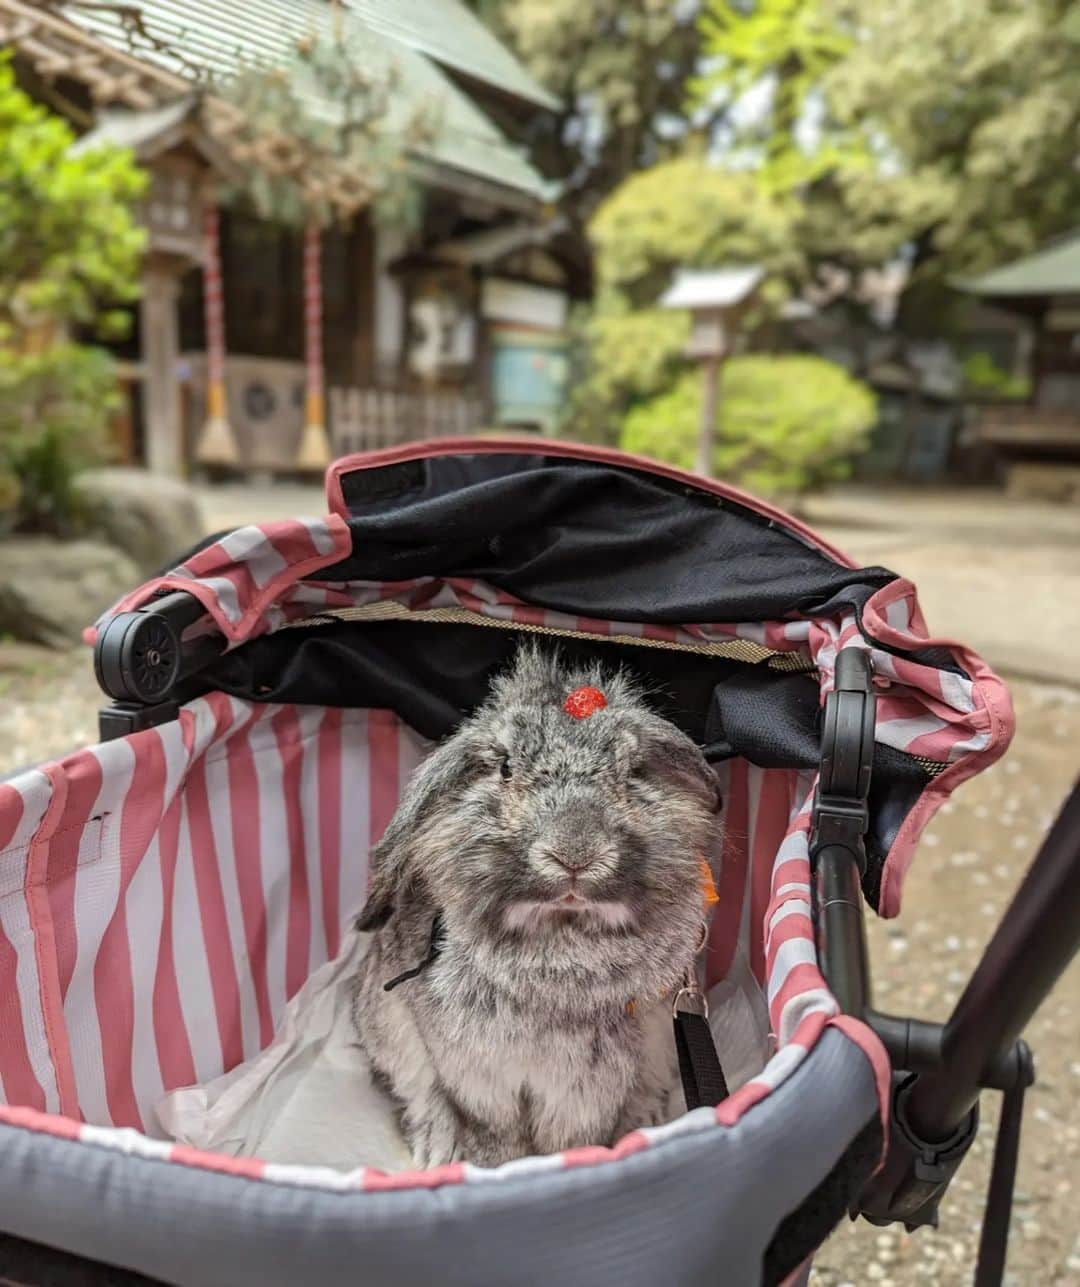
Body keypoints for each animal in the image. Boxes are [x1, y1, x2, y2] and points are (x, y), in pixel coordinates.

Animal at [355, 643, 720, 1168]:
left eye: (632, 771)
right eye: (505, 768)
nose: (575, 851)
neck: (561, 932)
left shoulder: (586, 1088)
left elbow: (568, 1137)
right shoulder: (476, 1074)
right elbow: (493, 1130)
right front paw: (496, 1166)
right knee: (419, 1096)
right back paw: (436, 1151)